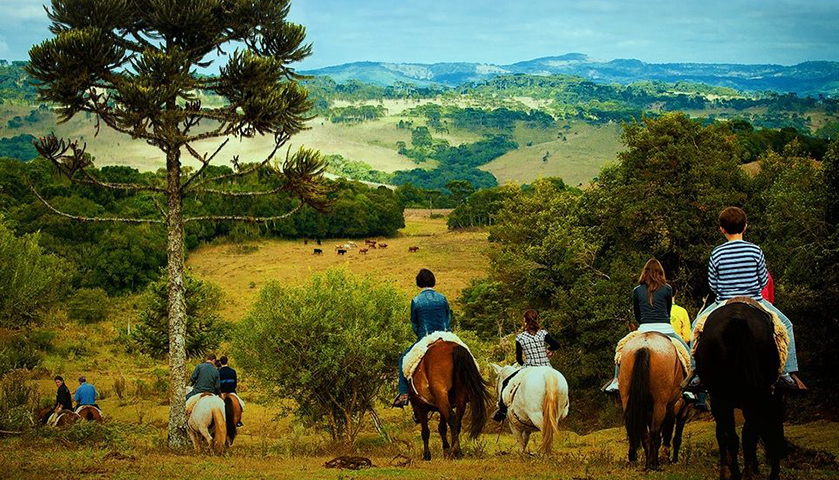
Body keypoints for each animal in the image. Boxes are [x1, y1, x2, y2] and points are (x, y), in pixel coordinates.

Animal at [620, 332, 692, 470]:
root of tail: (645, 345)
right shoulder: (679, 408)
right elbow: (672, 434)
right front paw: (670, 458)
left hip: (629, 401)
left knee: (643, 433)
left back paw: (646, 463)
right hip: (660, 404)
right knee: (655, 432)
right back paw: (655, 465)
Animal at [696, 298, 788, 478]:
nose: (781, 453)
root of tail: (737, 319)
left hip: (721, 396)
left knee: (731, 435)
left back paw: (734, 473)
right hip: (748, 397)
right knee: (746, 435)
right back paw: (745, 473)